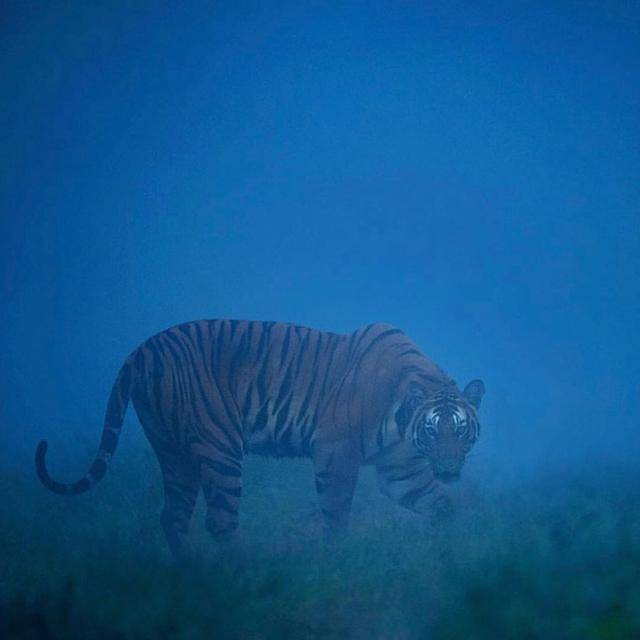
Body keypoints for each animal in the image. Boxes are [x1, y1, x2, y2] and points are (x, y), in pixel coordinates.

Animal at [36, 322, 484, 556]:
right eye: (433, 429)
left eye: (459, 429)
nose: (448, 469)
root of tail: (143, 350)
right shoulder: (335, 452)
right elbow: (337, 511)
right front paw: (337, 555)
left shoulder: (399, 467)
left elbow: (438, 503)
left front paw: (450, 549)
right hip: (219, 447)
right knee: (219, 521)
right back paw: (244, 576)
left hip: (173, 451)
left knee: (174, 516)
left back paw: (192, 577)